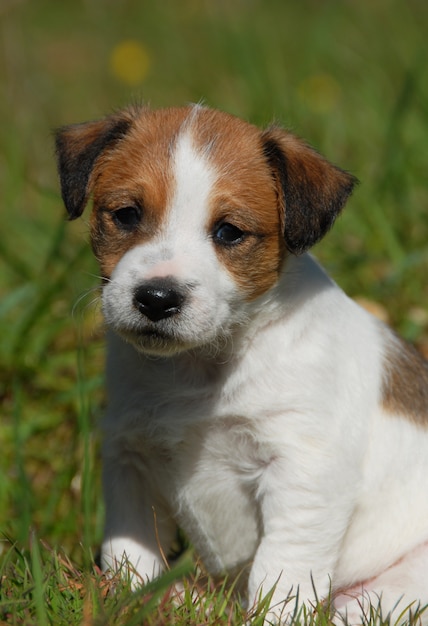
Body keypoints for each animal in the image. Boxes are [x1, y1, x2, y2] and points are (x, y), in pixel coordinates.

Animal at [55, 105, 428, 620]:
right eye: (127, 215)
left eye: (229, 232)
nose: (156, 298)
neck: (202, 368)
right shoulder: (130, 459)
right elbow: (130, 550)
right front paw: (129, 602)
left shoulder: (303, 471)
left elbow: (282, 566)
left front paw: (273, 617)